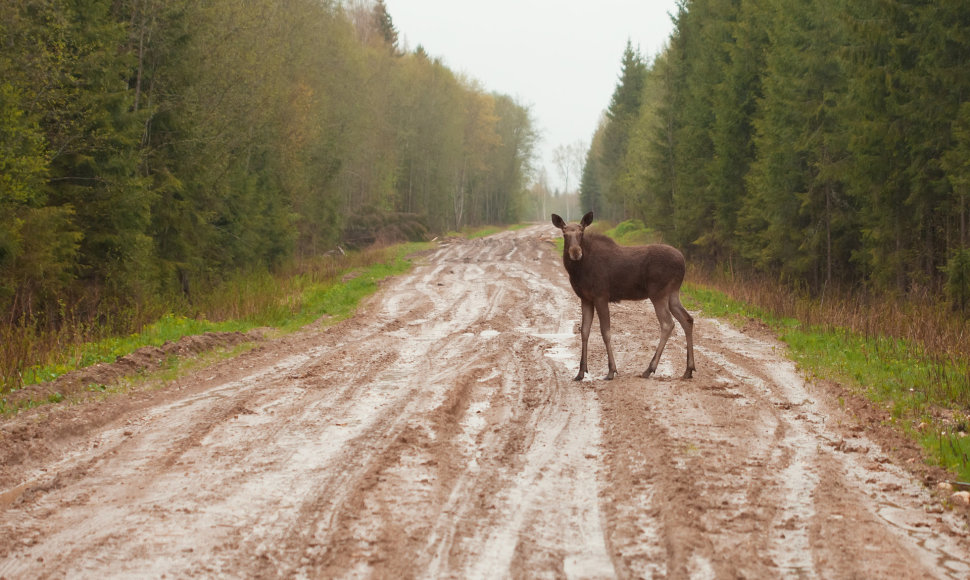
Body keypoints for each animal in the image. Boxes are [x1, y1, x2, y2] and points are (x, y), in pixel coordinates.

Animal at [548, 212, 692, 380]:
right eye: (564, 233)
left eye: (581, 232)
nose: (576, 252)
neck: (578, 271)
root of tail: (683, 263)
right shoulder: (586, 298)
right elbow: (584, 331)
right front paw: (581, 372)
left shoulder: (601, 296)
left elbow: (605, 332)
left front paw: (611, 370)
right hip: (673, 293)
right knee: (687, 319)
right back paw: (688, 369)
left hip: (658, 293)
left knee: (668, 324)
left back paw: (649, 369)